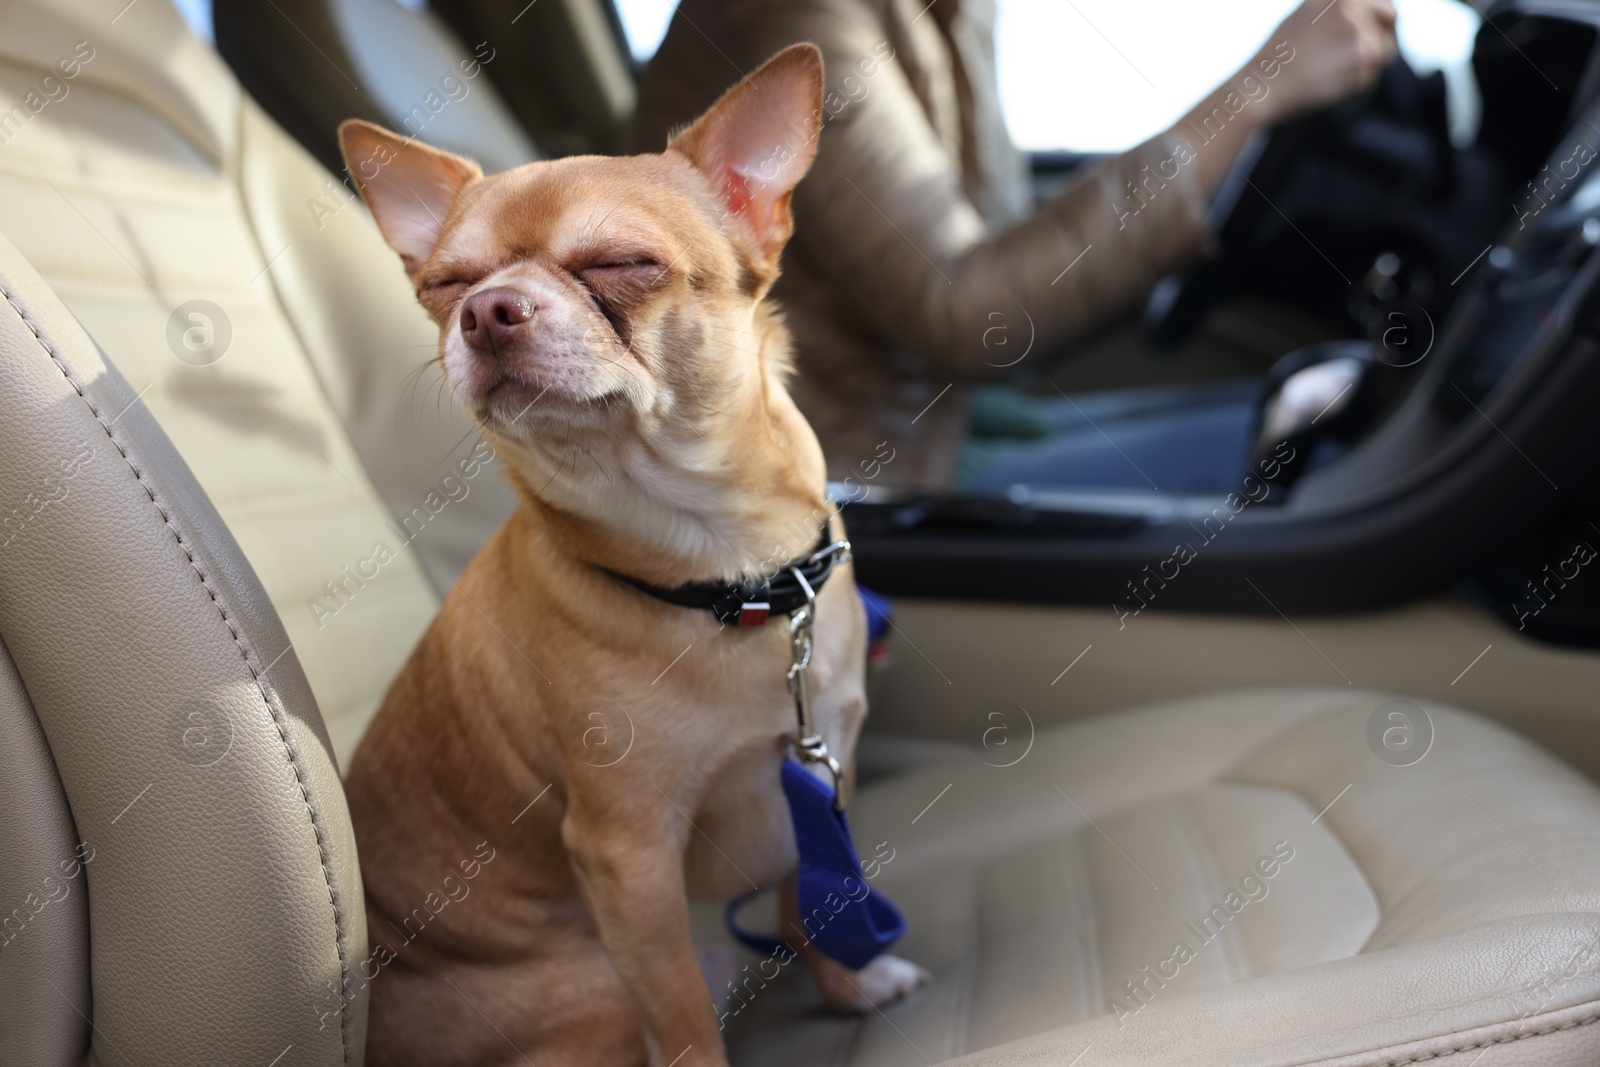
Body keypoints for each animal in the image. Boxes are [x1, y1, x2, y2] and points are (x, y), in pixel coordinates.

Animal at [340, 43, 928, 1067]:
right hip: (595, 993)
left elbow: (816, 898)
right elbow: (684, 1013)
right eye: (447, 286)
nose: (488, 310)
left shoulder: (820, 779)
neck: (728, 575)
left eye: (623, 263)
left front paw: (850, 986)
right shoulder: (629, 857)